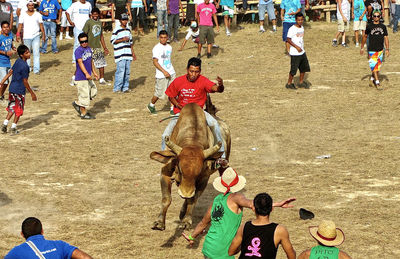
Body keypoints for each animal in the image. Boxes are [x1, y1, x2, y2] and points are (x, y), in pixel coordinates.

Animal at [150, 102, 231, 231]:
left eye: (198, 172)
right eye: (180, 169)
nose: (185, 193)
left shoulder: (203, 179)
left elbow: (193, 199)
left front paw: (186, 221)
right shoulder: (165, 172)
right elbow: (166, 198)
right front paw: (159, 222)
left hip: (224, 164)